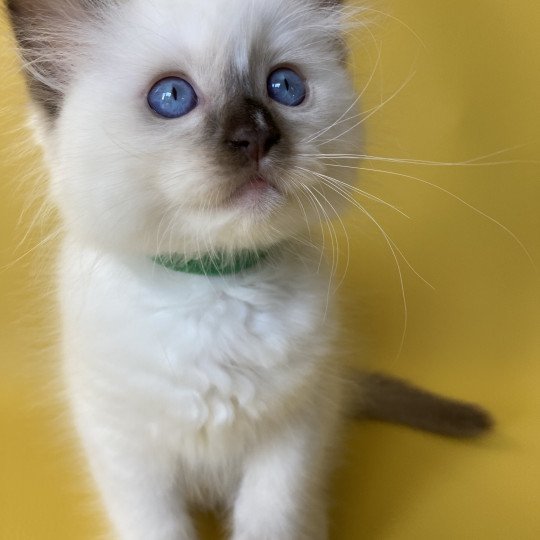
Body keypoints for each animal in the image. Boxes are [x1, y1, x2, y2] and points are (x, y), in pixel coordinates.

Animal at [6, 1, 492, 540]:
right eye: (171, 97)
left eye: (284, 86)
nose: (256, 135)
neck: (217, 283)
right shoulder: (127, 448)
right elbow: (157, 525)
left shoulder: (292, 432)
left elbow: (270, 519)